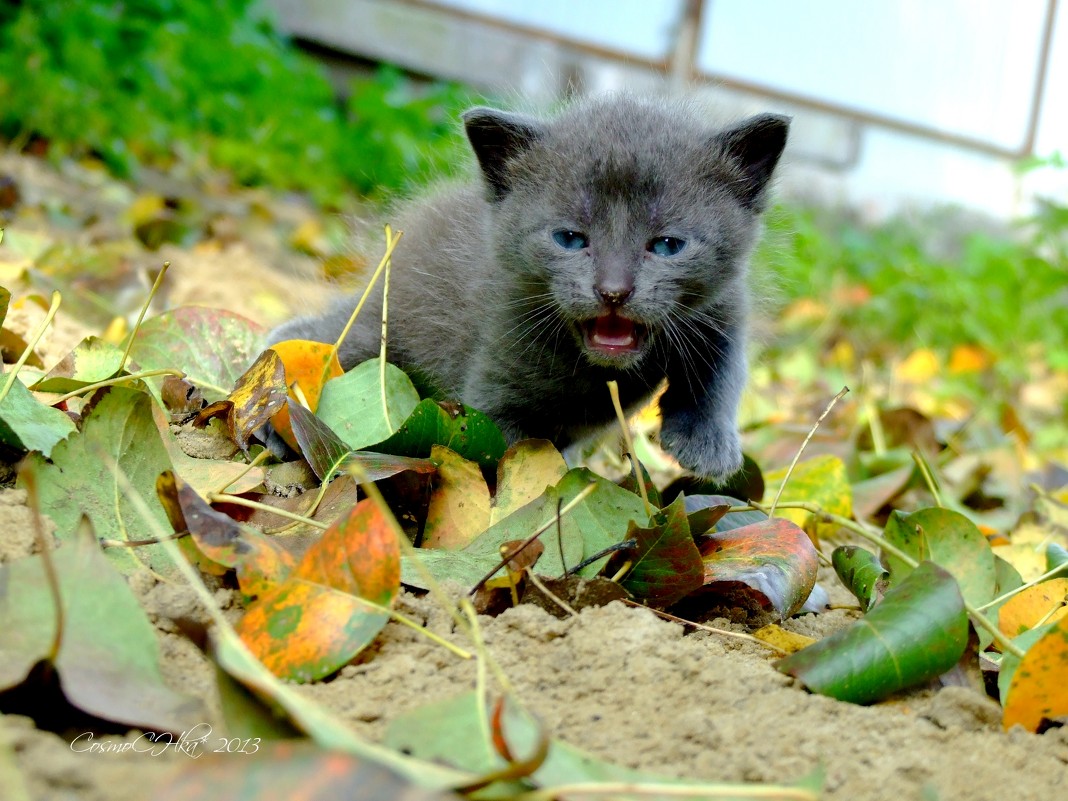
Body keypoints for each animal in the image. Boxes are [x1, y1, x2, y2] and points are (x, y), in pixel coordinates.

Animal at [271, 97, 790, 480]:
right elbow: (511, 453)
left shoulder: (724, 305)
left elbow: (724, 367)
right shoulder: (497, 364)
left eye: (667, 245)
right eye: (570, 239)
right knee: (328, 342)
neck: (595, 370)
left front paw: (706, 443)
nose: (613, 291)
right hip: (381, 326)